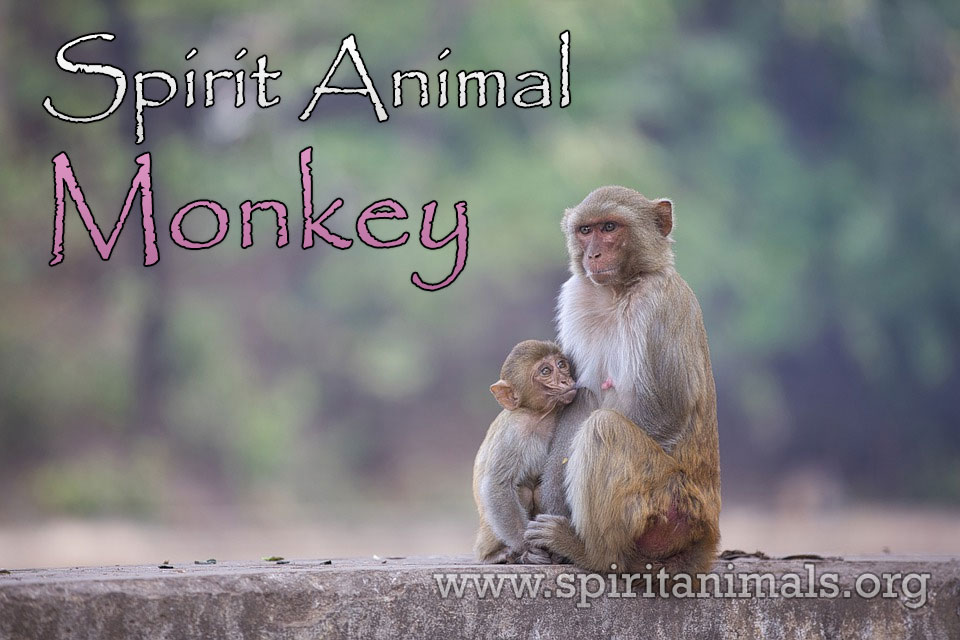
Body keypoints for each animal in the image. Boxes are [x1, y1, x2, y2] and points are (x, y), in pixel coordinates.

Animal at [472, 340, 578, 564]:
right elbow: (497, 485)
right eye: (546, 371)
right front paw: (527, 547)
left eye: (561, 364)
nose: (565, 380)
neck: (540, 416)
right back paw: (495, 554)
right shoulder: (514, 432)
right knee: (523, 490)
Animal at [524, 186, 721, 578]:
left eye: (610, 227)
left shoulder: (660, 305)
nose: (593, 254)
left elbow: (667, 408)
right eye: (586, 231)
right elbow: (580, 398)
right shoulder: (577, 296)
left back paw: (593, 554)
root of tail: (706, 532)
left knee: (604, 429)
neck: (619, 291)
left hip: (670, 506)